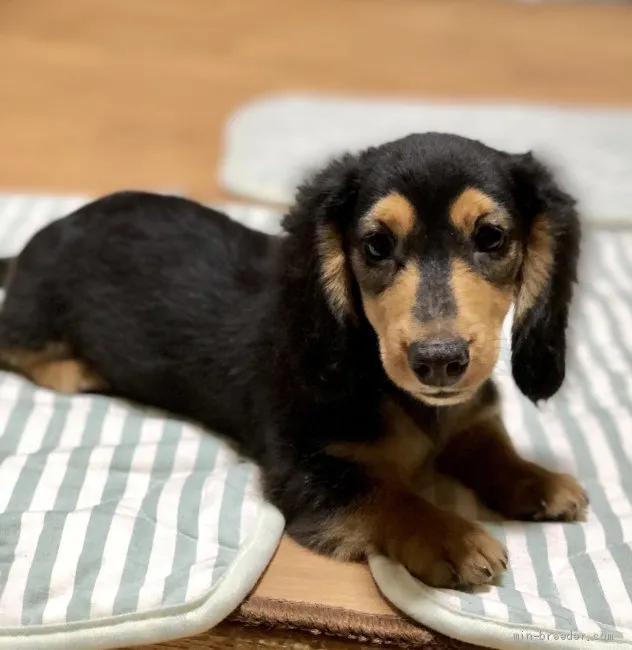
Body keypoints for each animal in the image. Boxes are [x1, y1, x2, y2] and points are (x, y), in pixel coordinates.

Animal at [0, 133, 588, 588]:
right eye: (376, 245)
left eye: (491, 237)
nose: (438, 361)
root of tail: (36, 242)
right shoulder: (306, 469)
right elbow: (387, 495)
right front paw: (452, 536)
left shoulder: (467, 417)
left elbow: (490, 446)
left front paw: (539, 481)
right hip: (36, 321)